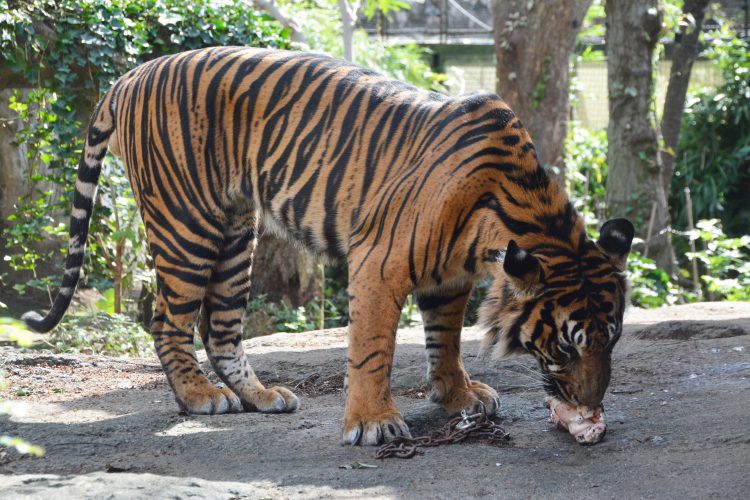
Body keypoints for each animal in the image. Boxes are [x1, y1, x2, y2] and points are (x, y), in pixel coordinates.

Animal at [22, 47, 636, 446]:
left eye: (610, 341)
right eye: (567, 346)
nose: (591, 408)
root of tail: (129, 75)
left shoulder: (449, 278)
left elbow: (446, 341)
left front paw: (456, 396)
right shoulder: (379, 264)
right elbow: (372, 349)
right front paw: (373, 421)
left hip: (235, 232)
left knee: (221, 327)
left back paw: (261, 397)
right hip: (185, 224)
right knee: (169, 321)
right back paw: (198, 397)